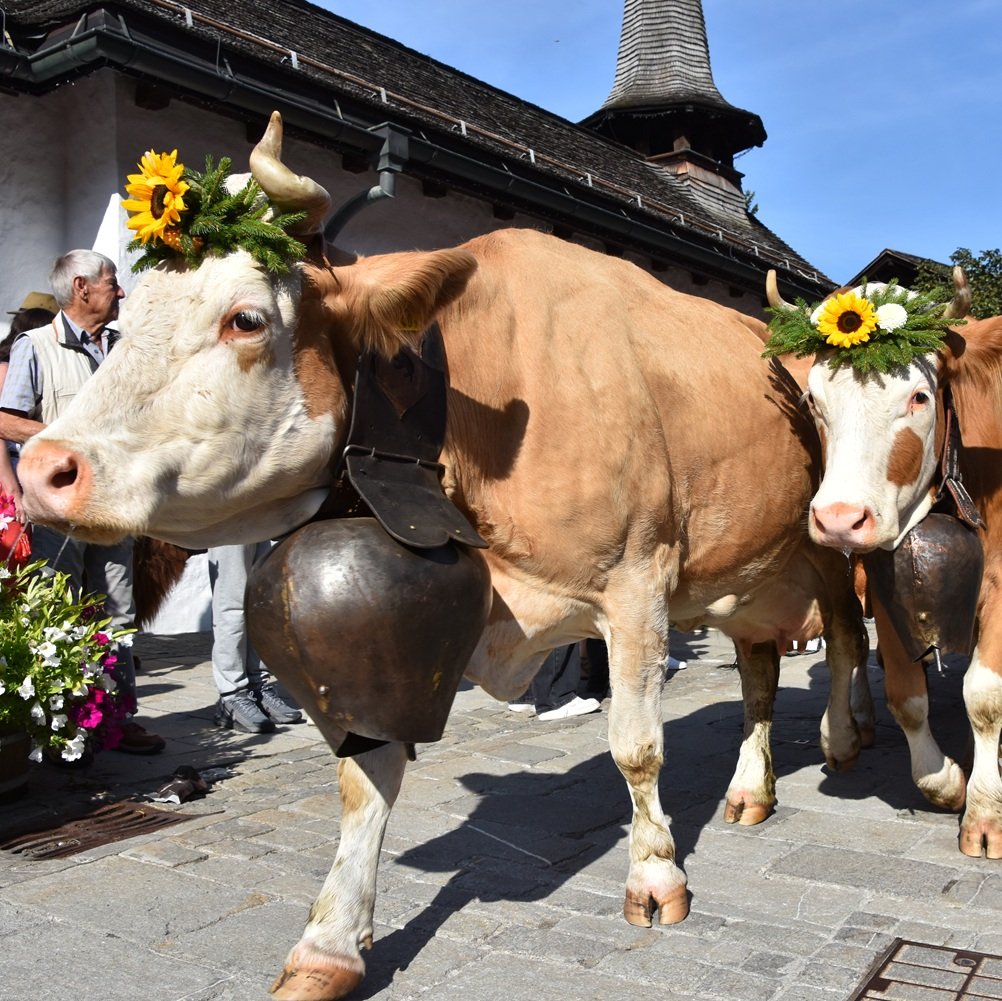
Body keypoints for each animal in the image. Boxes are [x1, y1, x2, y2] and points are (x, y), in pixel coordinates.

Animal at [17, 113, 868, 1000]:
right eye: (128, 320)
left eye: (246, 319)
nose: (44, 467)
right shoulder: (398, 631)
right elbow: (365, 776)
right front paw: (329, 944)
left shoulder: (637, 583)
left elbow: (637, 746)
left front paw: (656, 875)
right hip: (746, 570)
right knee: (760, 670)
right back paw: (750, 788)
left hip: (829, 542)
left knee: (845, 636)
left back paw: (845, 738)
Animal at [766, 270, 1002, 860]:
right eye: (814, 401)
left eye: (919, 396)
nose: (838, 520)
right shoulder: (885, 574)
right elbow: (906, 695)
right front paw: (945, 782)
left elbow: (984, 697)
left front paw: (986, 813)